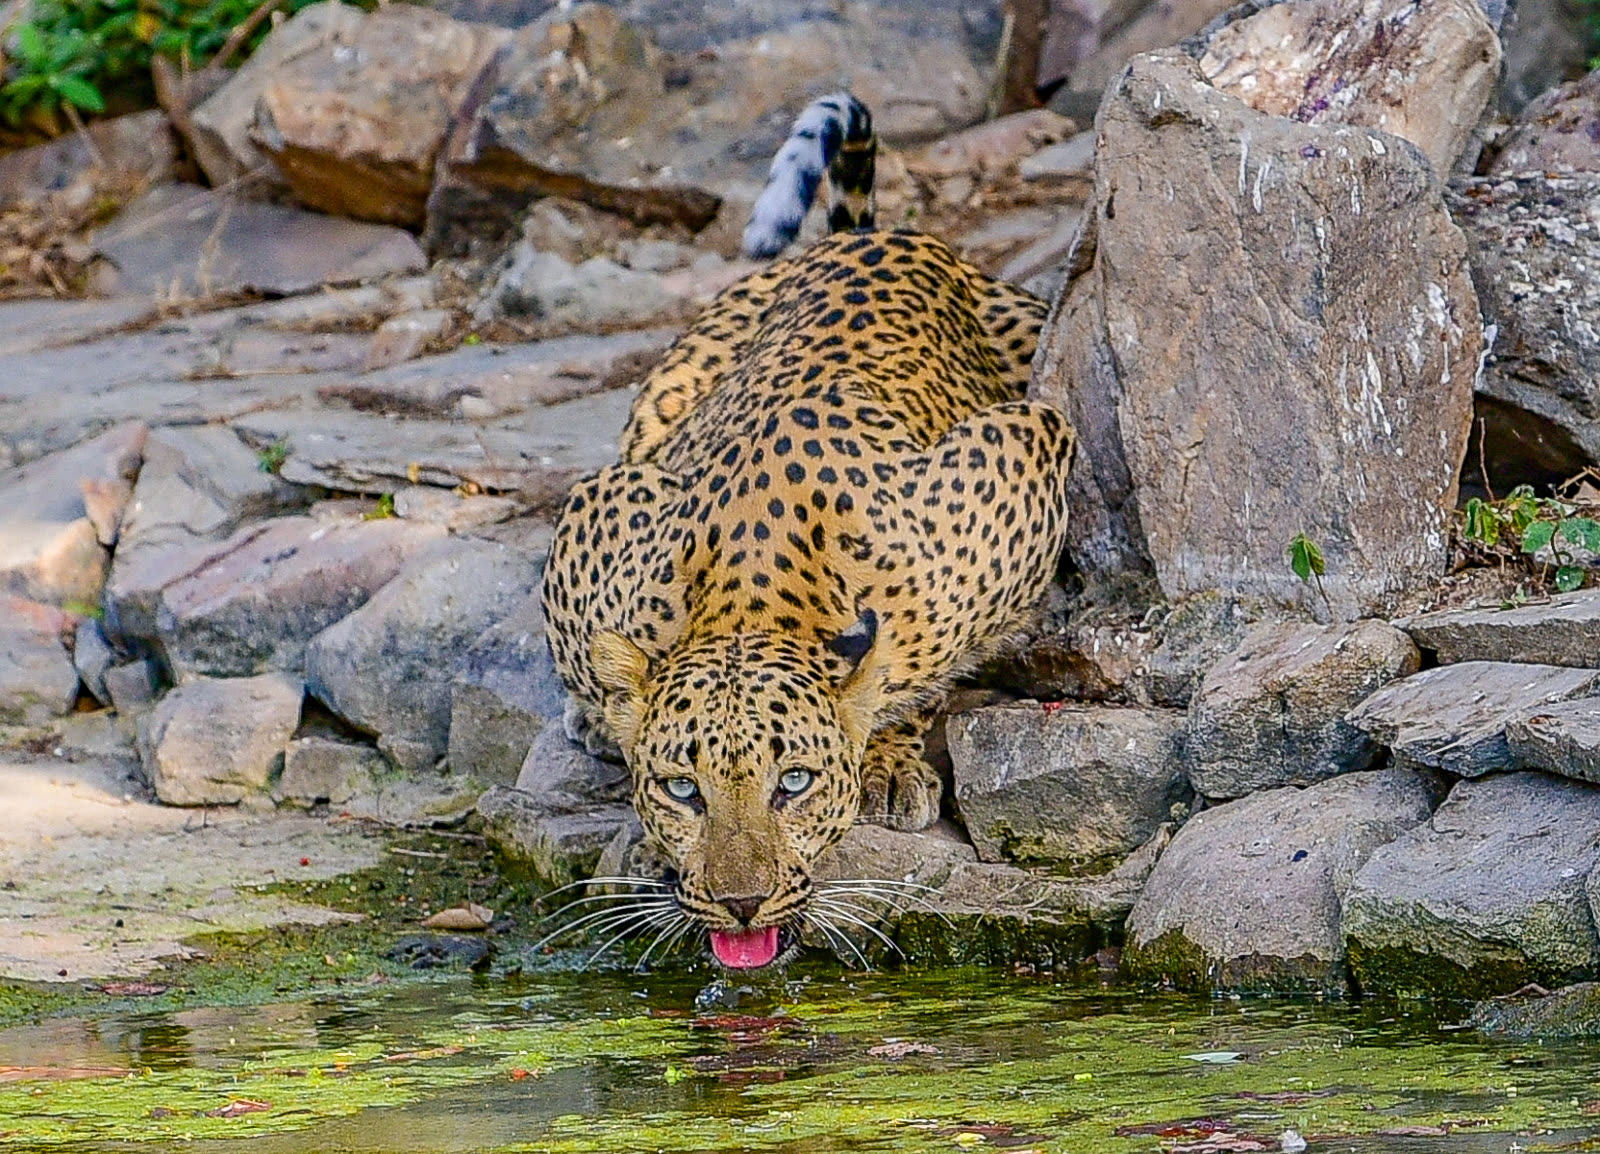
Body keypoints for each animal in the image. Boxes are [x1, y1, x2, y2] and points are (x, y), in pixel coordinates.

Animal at [540, 92, 1075, 970]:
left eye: (793, 783)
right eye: (683, 790)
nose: (741, 905)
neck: (753, 593)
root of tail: (868, 237)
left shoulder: (1024, 444)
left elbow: (906, 677)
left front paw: (888, 758)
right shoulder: (597, 516)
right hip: (665, 394)